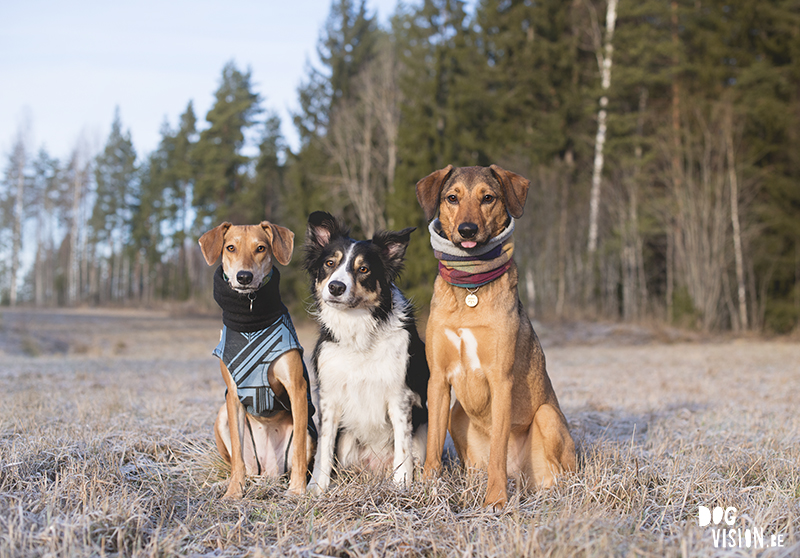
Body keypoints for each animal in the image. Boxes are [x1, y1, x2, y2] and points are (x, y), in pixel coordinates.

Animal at [198, 221, 314, 500]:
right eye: (230, 247)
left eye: (261, 248)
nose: (244, 277)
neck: (251, 318)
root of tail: (268, 472)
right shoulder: (232, 394)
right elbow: (238, 455)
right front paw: (233, 492)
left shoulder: (297, 388)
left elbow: (298, 452)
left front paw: (297, 490)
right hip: (221, 417)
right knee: (243, 465)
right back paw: (223, 484)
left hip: (309, 431)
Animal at [418, 164, 576, 510]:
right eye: (452, 198)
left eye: (488, 198)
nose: (467, 230)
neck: (470, 289)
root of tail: (522, 476)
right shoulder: (438, 379)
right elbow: (433, 447)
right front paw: (426, 489)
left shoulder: (500, 380)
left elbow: (497, 453)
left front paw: (495, 501)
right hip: (457, 414)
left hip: (547, 416)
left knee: (559, 474)